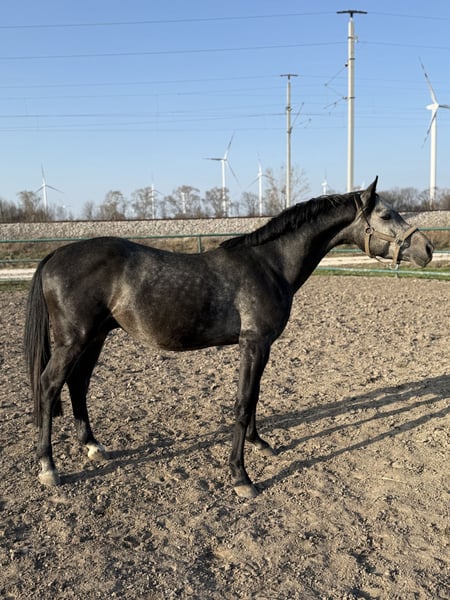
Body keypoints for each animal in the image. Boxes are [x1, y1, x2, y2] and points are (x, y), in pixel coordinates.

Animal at [24, 177, 433, 498]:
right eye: (386, 215)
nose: (427, 249)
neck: (269, 263)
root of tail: (55, 255)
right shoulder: (254, 344)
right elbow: (242, 403)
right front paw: (241, 476)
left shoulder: (260, 347)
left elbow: (253, 399)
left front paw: (259, 443)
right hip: (75, 340)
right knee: (49, 385)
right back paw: (49, 467)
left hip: (95, 338)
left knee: (77, 384)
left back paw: (92, 446)